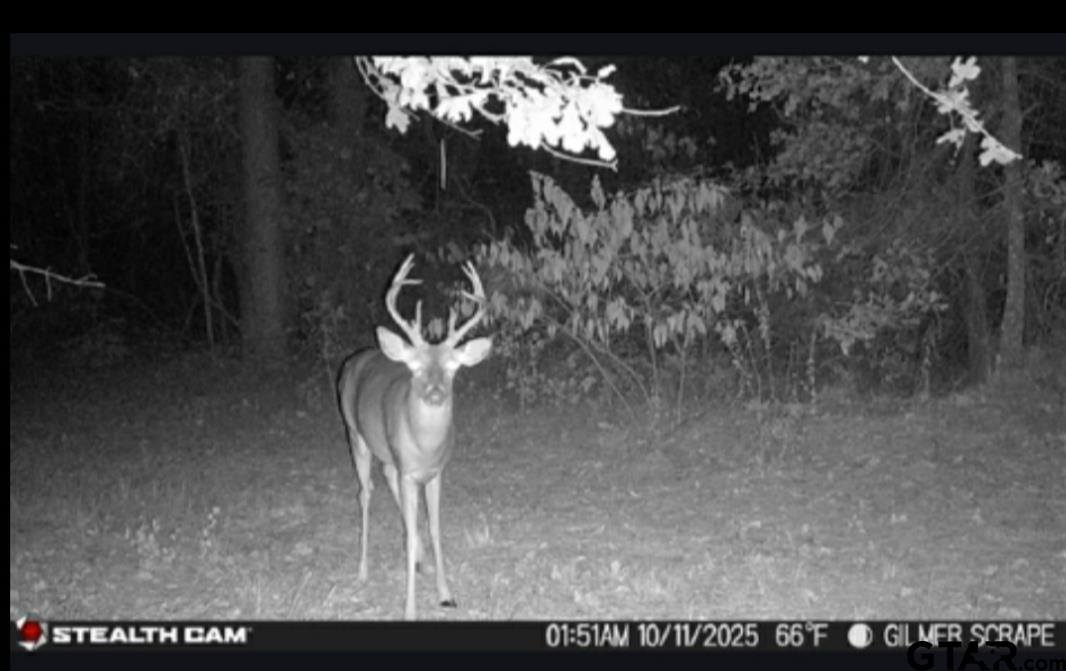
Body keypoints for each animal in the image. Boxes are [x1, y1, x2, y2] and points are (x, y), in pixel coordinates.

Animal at [336, 254, 492, 620]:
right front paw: (409, 609)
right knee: (365, 493)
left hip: (389, 454)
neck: (425, 447)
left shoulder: (434, 472)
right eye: (415, 367)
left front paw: (446, 594)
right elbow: (407, 531)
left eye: (452, 368)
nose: (435, 392)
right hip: (355, 434)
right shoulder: (409, 471)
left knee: (388, 478)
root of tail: (355, 359)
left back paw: (420, 560)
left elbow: (434, 528)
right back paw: (362, 572)